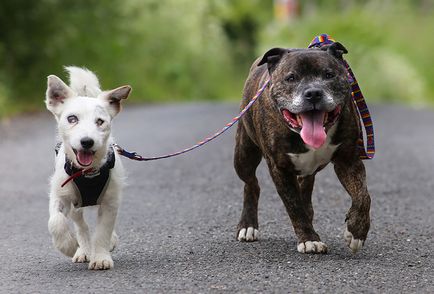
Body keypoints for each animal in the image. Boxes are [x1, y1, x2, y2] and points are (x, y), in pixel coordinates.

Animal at [45, 66, 131, 268]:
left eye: (100, 121)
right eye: (72, 119)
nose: (87, 141)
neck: (87, 173)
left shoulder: (110, 202)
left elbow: (103, 231)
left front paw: (100, 257)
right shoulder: (59, 194)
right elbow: (55, 221)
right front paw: (68, 246)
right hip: (76, 205)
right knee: (80, 225)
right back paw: (82, 250)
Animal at [236, 42, 372, 254]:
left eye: (329, 75)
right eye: (291, 78)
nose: (313, 93)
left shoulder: (348, 160)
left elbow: (363, 196)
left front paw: (356, 231)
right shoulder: (280, 168)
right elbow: (294, 206)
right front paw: (309, 239)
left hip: (306, 171)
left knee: (305, 190)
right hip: (244, 156)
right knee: (251, 184)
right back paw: (247, 225)